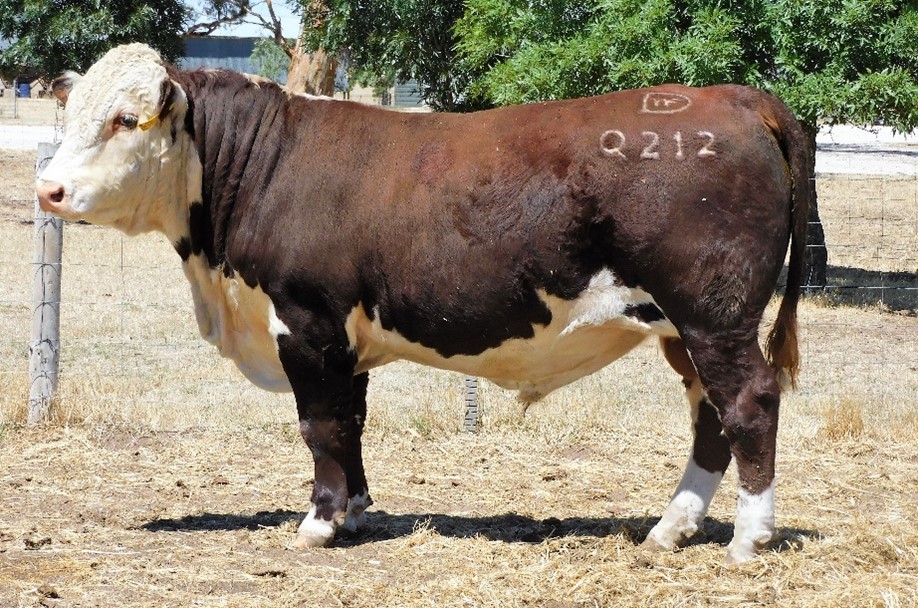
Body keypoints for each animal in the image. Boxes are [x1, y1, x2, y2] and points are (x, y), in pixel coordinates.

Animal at [36, 44, 812, 564]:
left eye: (125, 119)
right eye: (70, 116)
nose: (48, 190)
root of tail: (733, 97)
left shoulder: (305, 320)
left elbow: (319, 425)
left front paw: (318, 523)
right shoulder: (345, 339)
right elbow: (350, 423)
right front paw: (354, 511)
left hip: (714, 315)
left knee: (748, 403)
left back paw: (750, 536)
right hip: (682, 326)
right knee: (710, 417)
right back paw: (669, 529)